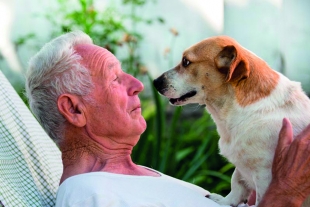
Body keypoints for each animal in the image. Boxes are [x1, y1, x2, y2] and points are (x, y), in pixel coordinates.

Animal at [154, 36, 310, 207]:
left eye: (186, 62)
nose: (155, 81)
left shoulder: (265, 174)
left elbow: (258, 197)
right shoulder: (241, 168)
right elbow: (237, 184)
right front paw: (225, 201)